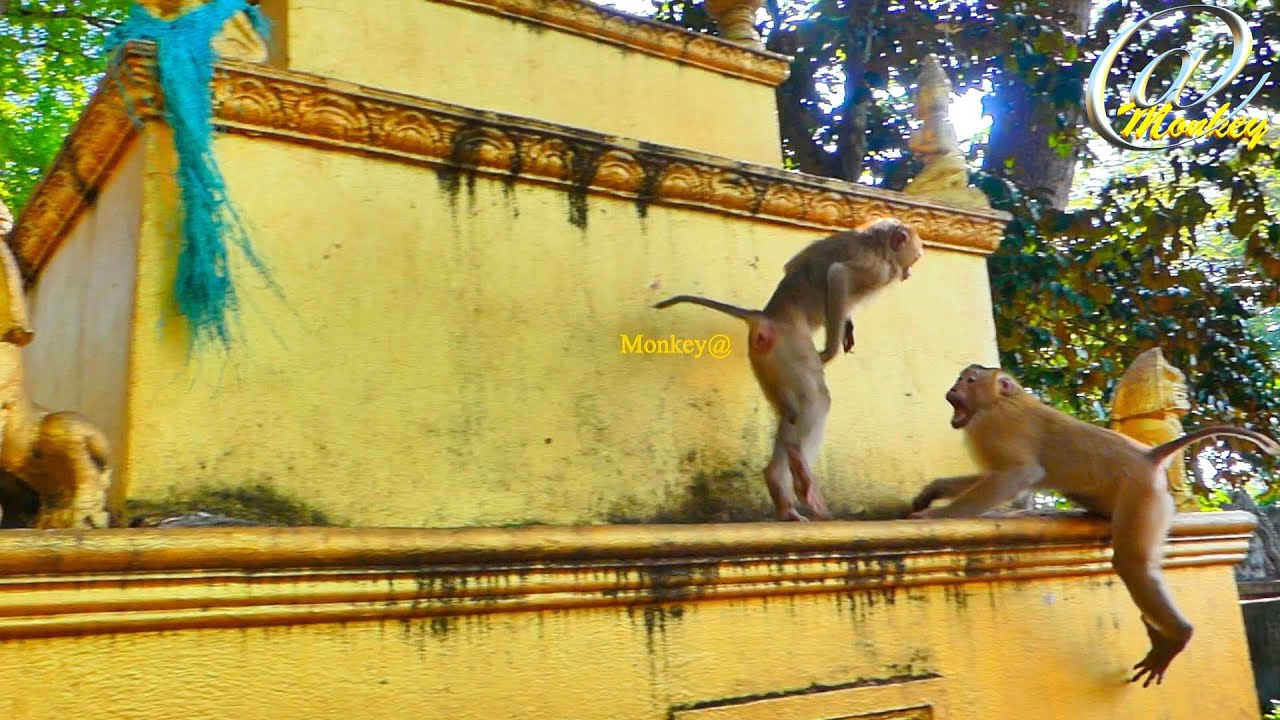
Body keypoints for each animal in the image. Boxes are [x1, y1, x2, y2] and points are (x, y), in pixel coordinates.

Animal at [655, 218, 925, 521]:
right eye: (914, 257)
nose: (910, 272)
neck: (879, 245)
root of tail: (765, 318)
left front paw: (847, 327)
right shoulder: (875, 269)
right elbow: (837, 275)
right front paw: (830, 349)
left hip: (765, 360)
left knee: (791, 411)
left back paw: (781, 489)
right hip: (790, 348)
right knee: (815, 399)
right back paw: (800, 474)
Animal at [909, 364, 1280, 687]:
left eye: (970, 380)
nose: (953, 389)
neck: (1003, 400)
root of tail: (1147, 457)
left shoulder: (997, 426)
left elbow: (1017, 475)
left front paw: (937, 517)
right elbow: (993, 477)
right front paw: (932, 493)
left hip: (1141, 496)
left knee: (1132, 563)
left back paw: (1178, 636)